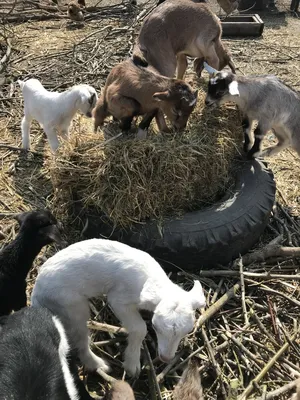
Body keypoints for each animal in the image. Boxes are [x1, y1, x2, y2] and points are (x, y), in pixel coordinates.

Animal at [32, 241, 206, 378]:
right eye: (155, 327)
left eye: (187, 331)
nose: (165, 358)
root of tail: (36, 292)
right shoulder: (119, 298)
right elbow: (140, 328)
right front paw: (132, 365)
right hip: (70, 305)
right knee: (79, 339)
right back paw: (99, 365)